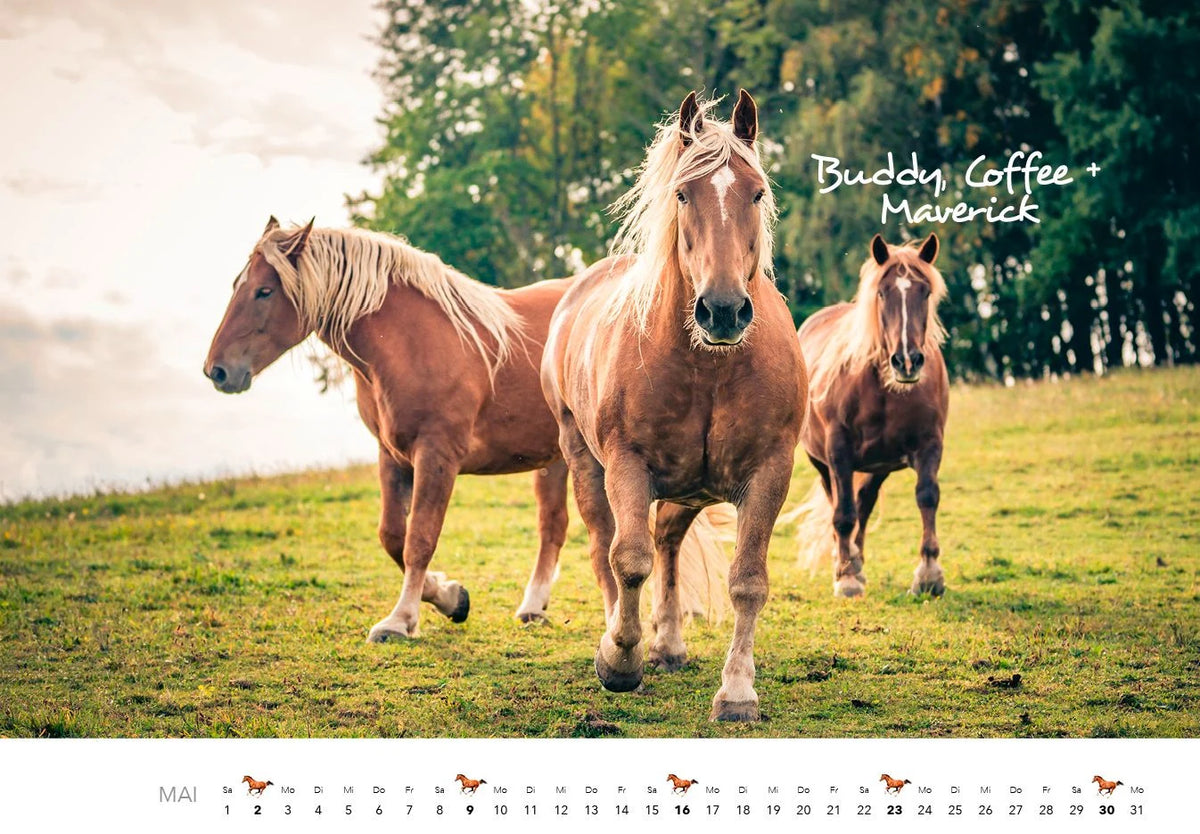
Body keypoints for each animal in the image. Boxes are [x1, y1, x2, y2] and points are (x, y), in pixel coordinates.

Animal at [542, 90, 806, 722]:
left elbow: (748, 580)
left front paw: (737, 691)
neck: (708, 367)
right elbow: (628, 559)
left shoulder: (770, 473)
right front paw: (619, 660)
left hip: (691, 489)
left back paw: (667, 644)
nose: (724, 309)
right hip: (587, 463)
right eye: (684, 194)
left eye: (756, 192)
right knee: (608, 548)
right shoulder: (628, 466)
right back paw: (628, 641)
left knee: (667, 541)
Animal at [791, 233, 949, 598]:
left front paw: (929, 574)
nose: (907, 361)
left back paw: (857, 560)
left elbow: (927, 496)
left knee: (863, 503)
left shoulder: (929, 444)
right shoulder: (838, 452)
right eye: (882, 293)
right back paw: (845, 564)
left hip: (878, 467)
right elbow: (843, 514)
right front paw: (846, 577)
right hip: (822, 463)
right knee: (841, 504)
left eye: (926, 292)